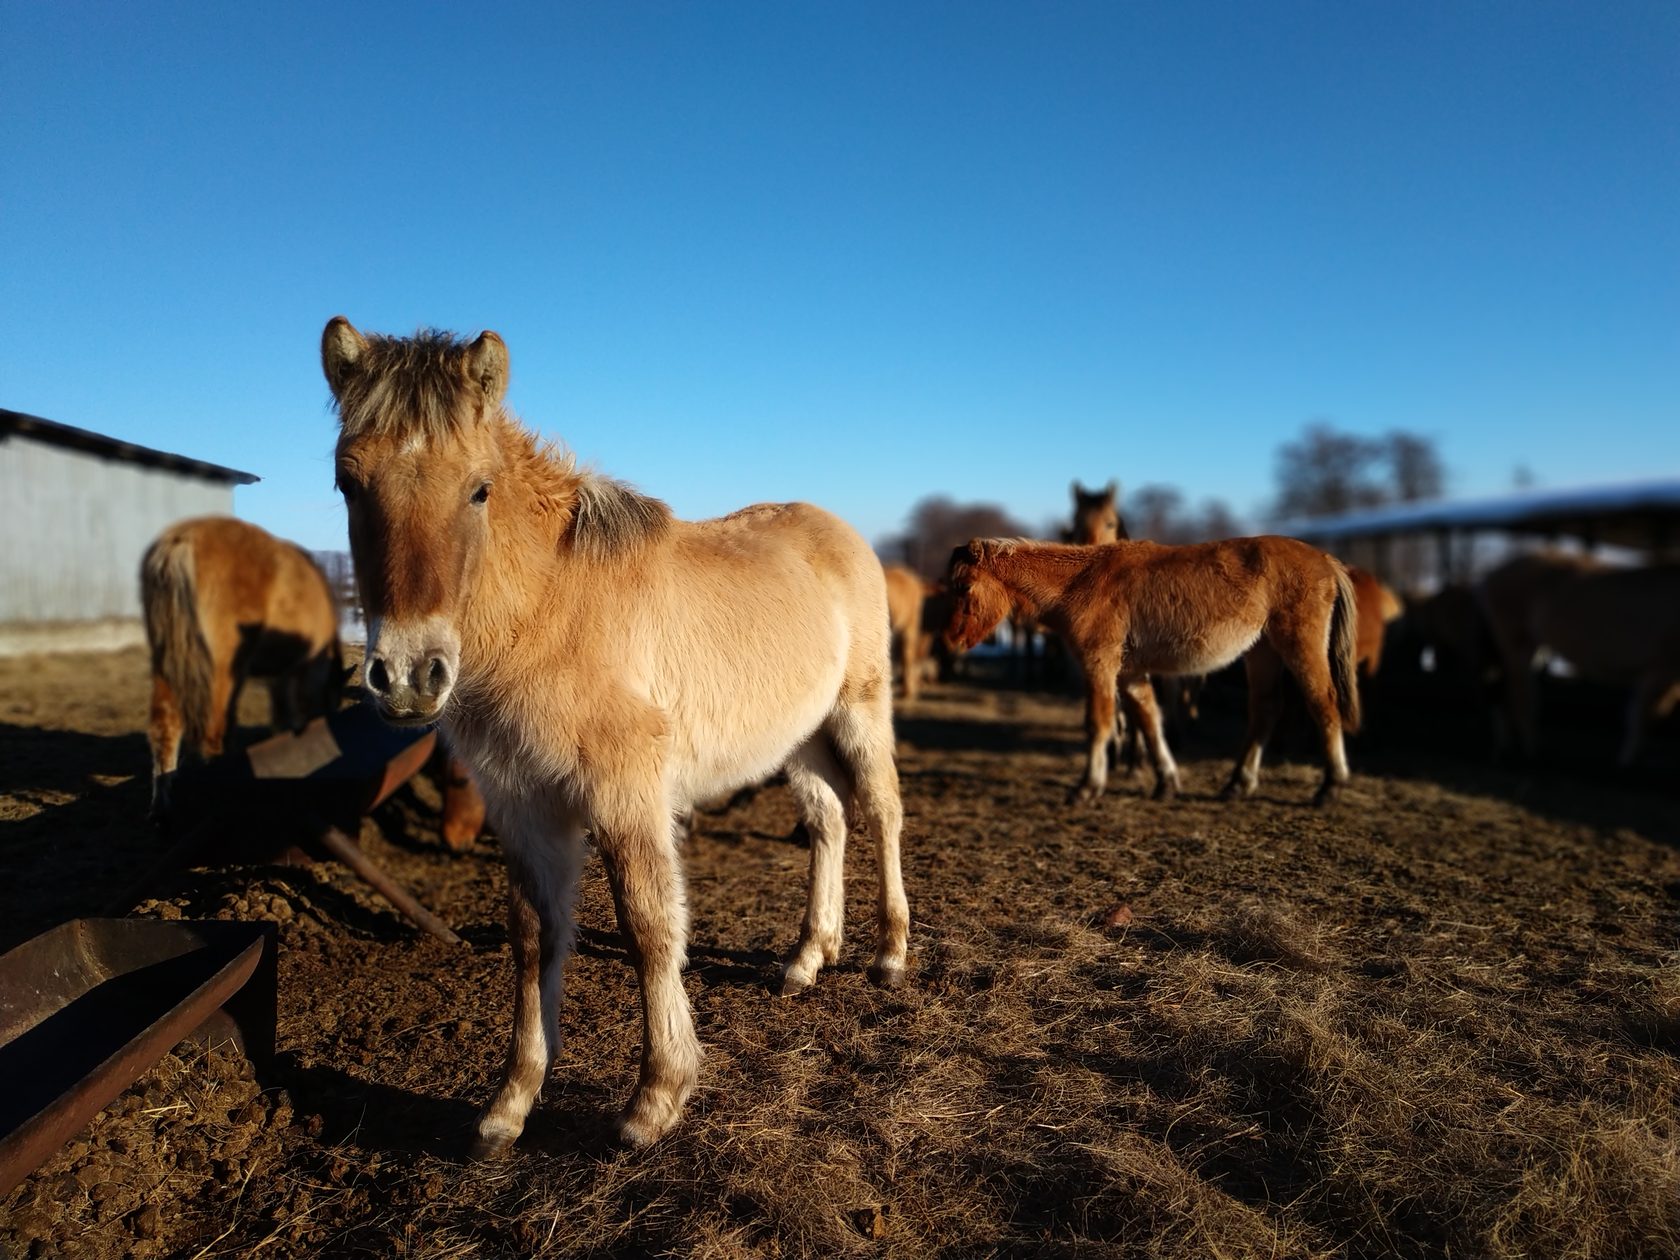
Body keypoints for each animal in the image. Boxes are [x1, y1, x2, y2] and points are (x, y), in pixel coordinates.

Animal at [141, 517, 344, 823]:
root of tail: (181, 540)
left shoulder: (277, 676)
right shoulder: (301, 669)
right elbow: (293, 710)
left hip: (167, 661)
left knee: (165, 726)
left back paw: (161, 807)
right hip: (221, 669)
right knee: (212, 729)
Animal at [320, 315, 913, 1155]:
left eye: (478, 487)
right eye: (349, 482)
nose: (407, 676)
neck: (551, 614)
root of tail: (842, 534)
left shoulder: (625, 793)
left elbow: (649, 926)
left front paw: (655, 1099)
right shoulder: (523, 806)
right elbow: (534, 935)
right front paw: (509, 1105)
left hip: (860, 711)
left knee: (882, 813)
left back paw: (889, 953)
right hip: (797, 738)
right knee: (829, 821)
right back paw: (807, 957)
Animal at [947, 537, 1364, 803]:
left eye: (964, 586)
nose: (952, 640)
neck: (1082, 582)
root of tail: (1326, 560)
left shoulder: (1100, 664)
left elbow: (1099, 723)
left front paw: (1087, 788)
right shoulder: (1130, 674)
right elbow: (1149, 722)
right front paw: (1166, 783)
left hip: (1299, 646)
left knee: (1323, 704)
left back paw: (1331, 787)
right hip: (1262, 653)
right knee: (1265, 710)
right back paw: (1238, 784)